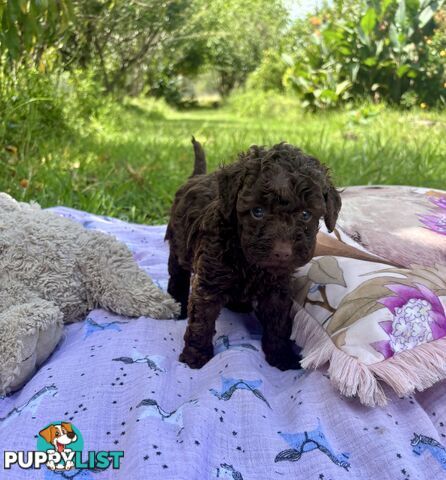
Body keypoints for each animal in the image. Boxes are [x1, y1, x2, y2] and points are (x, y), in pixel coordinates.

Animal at [167, 139, 342, 372]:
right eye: (257, 212)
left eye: (306, 215)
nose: (282, 252)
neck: (250, 263)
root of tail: (196, 177)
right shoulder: (209, 281)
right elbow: (201, 320)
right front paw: (195, 356)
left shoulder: (277, 289)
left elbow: (278, 323)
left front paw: (281, 356)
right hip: (177, 243)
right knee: (177, 274)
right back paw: (177, 304)